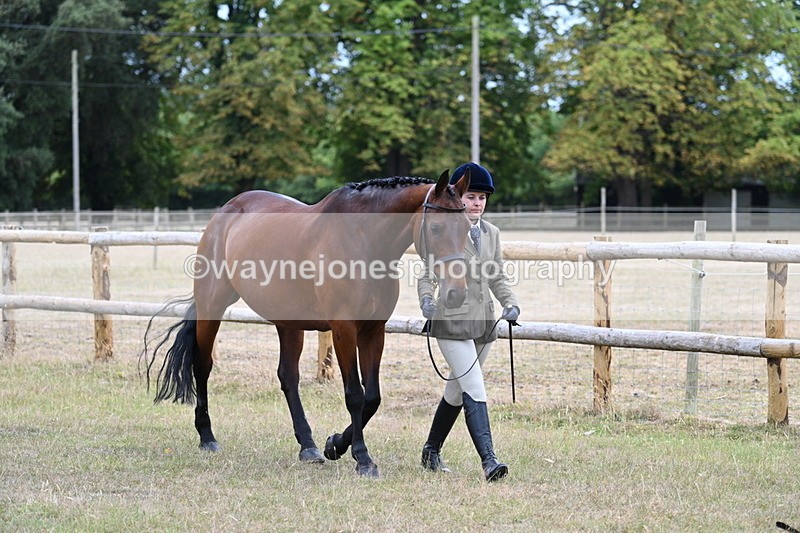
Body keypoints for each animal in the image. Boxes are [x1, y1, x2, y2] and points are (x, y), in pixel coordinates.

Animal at [142, 169, 472, 477]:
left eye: (468, 228)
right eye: (436, 227)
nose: (456, 293)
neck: (362, 239)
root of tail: (225, 213)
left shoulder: (374, 331)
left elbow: (372, 397)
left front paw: (335, 445)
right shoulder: (344, 329)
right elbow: (355, 395)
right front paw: (362, 458)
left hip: (289, 323)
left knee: (288, 376)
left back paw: (308, 446)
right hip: (212, 306)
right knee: (203, 365)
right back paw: (207, 436)